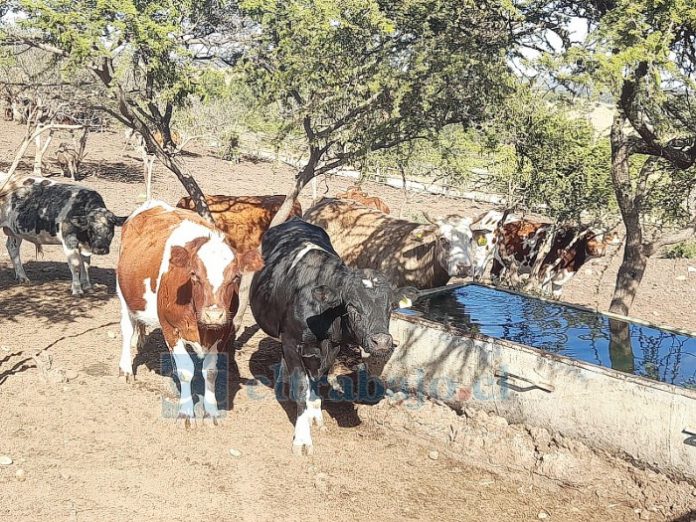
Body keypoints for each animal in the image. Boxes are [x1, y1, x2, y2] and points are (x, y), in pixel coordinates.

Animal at [117, 199, 264, 422]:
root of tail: (152, 203)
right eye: (194, 275)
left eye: (236, 277)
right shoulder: (170, 329)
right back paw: (125, 368)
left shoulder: (221, 332)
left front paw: (212, 411)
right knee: (126, 328)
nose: (214, 315)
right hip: (122, 294)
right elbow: (186, 371)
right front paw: (186, 412)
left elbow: (210, 371)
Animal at [249, 217, 414, 452]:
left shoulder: (333, 345)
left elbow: (318, 377)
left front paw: (315, 414)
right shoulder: (290, 341)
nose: (381, 342)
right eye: (352, 306)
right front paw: (302, 439)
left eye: (390, 306)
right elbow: (301, 385)